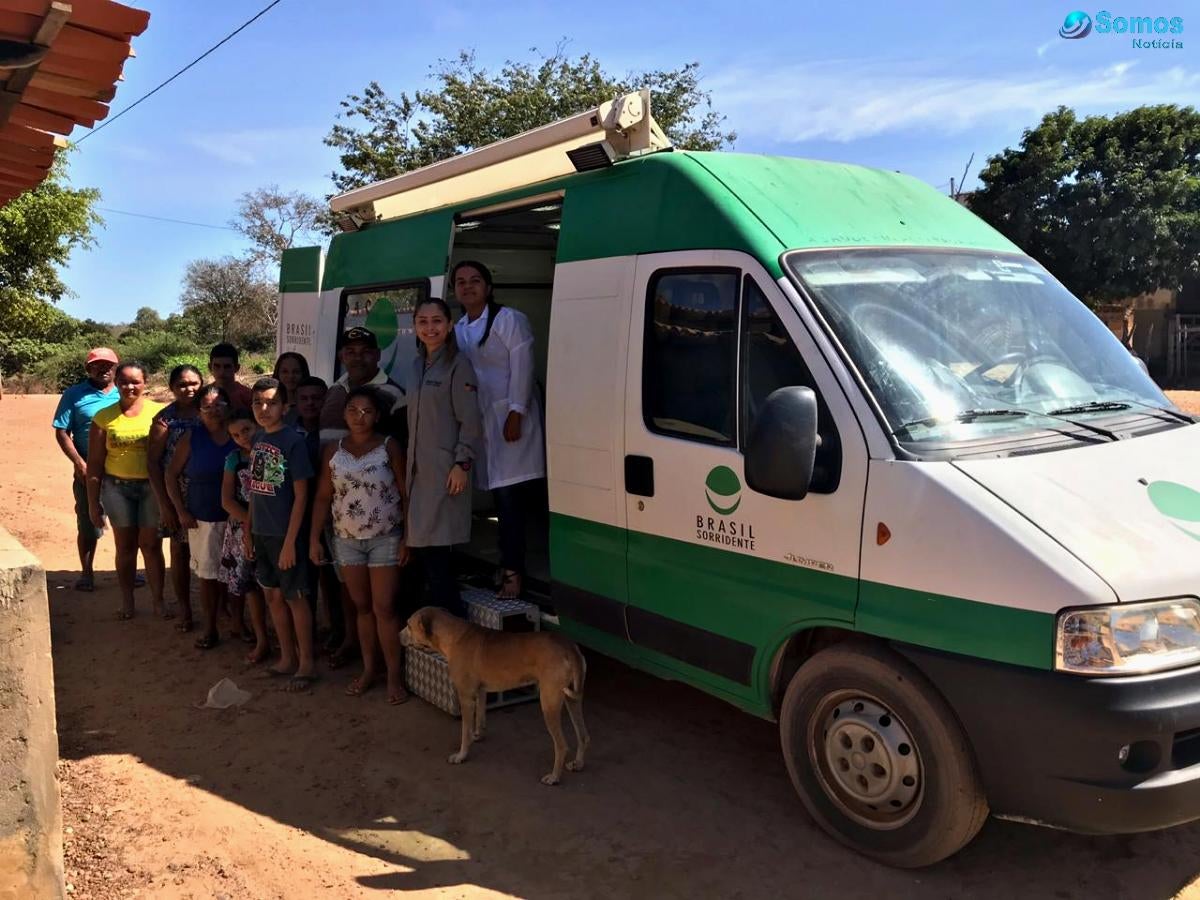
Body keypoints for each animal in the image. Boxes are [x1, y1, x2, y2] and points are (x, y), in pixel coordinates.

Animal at [403, 609, 590, 787]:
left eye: (409, 626)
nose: (399, 635)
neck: (454, 636)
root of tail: (569, 647)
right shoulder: (480, 692)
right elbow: (479, 719)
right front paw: (478, 735)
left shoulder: (465, 696)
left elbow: (465, 731)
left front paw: (461, 755)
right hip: (572, 698)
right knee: (583, 735)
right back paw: (578, 764)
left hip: (549, 703)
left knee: (562, 745)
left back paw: (554, 777)